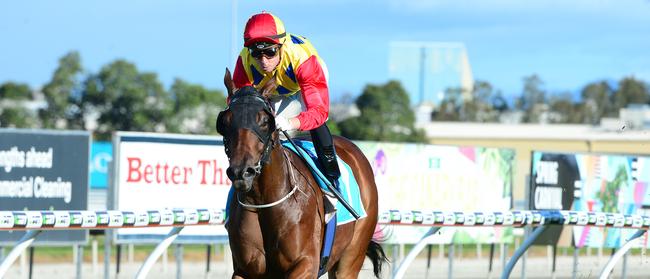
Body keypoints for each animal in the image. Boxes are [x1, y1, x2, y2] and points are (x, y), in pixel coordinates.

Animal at [218, 69, 388, 278]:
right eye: (225, 121)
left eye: (266, 121)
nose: (242, 172)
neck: (263, 200)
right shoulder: (244, 270)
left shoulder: (305, 264)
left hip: (351, 257)